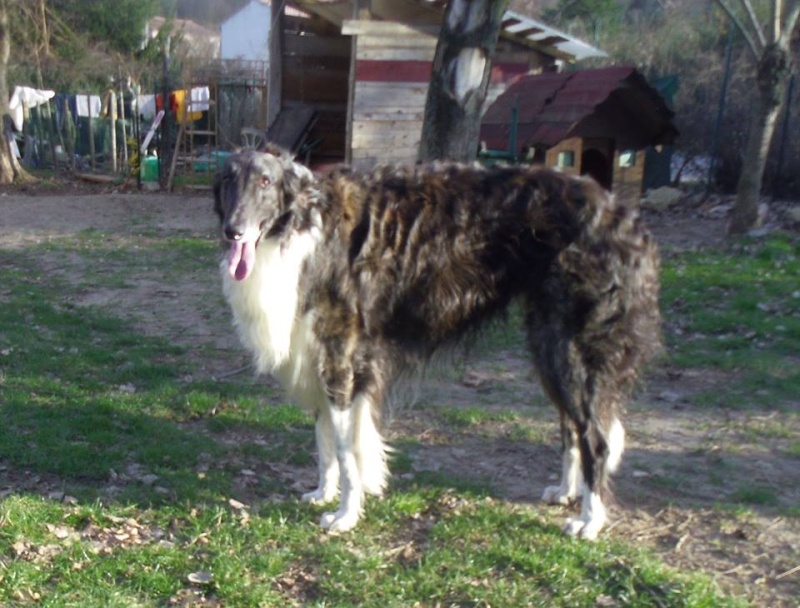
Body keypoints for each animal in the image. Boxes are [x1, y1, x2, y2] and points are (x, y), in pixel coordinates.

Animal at [211, 150, 656, 540]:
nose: (233, 230)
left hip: (571, 349)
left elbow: (345, 448)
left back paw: (590, 520)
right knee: (571, 427)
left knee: (595, 437)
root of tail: (622, 214)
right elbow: (326, 444)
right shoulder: (318, 355)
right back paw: (566, 492)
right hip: (548, 345)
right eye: (228, 182)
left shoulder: (341, 358)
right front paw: (324, 493)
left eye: (265, 182)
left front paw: (345, 515)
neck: (302, 228)